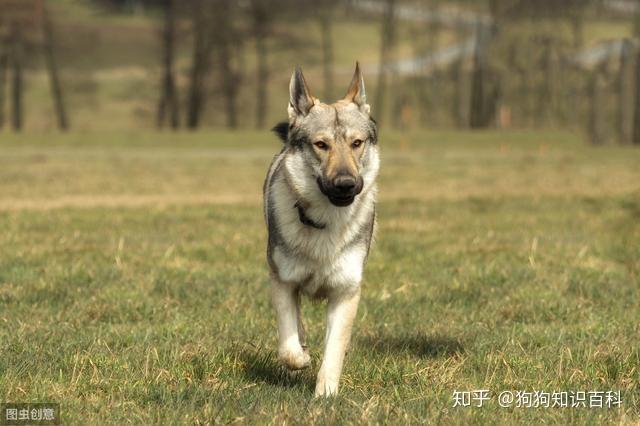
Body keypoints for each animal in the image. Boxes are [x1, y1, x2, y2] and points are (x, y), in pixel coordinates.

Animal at [262, 62, 378, 396]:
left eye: (356, 143)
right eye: (321, 145)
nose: (346, 184)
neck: (326, 221)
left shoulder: (346, 291)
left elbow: (334, 350)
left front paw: (326, 394)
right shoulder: (282, 280)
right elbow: (288, 348)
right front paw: (301, 358)